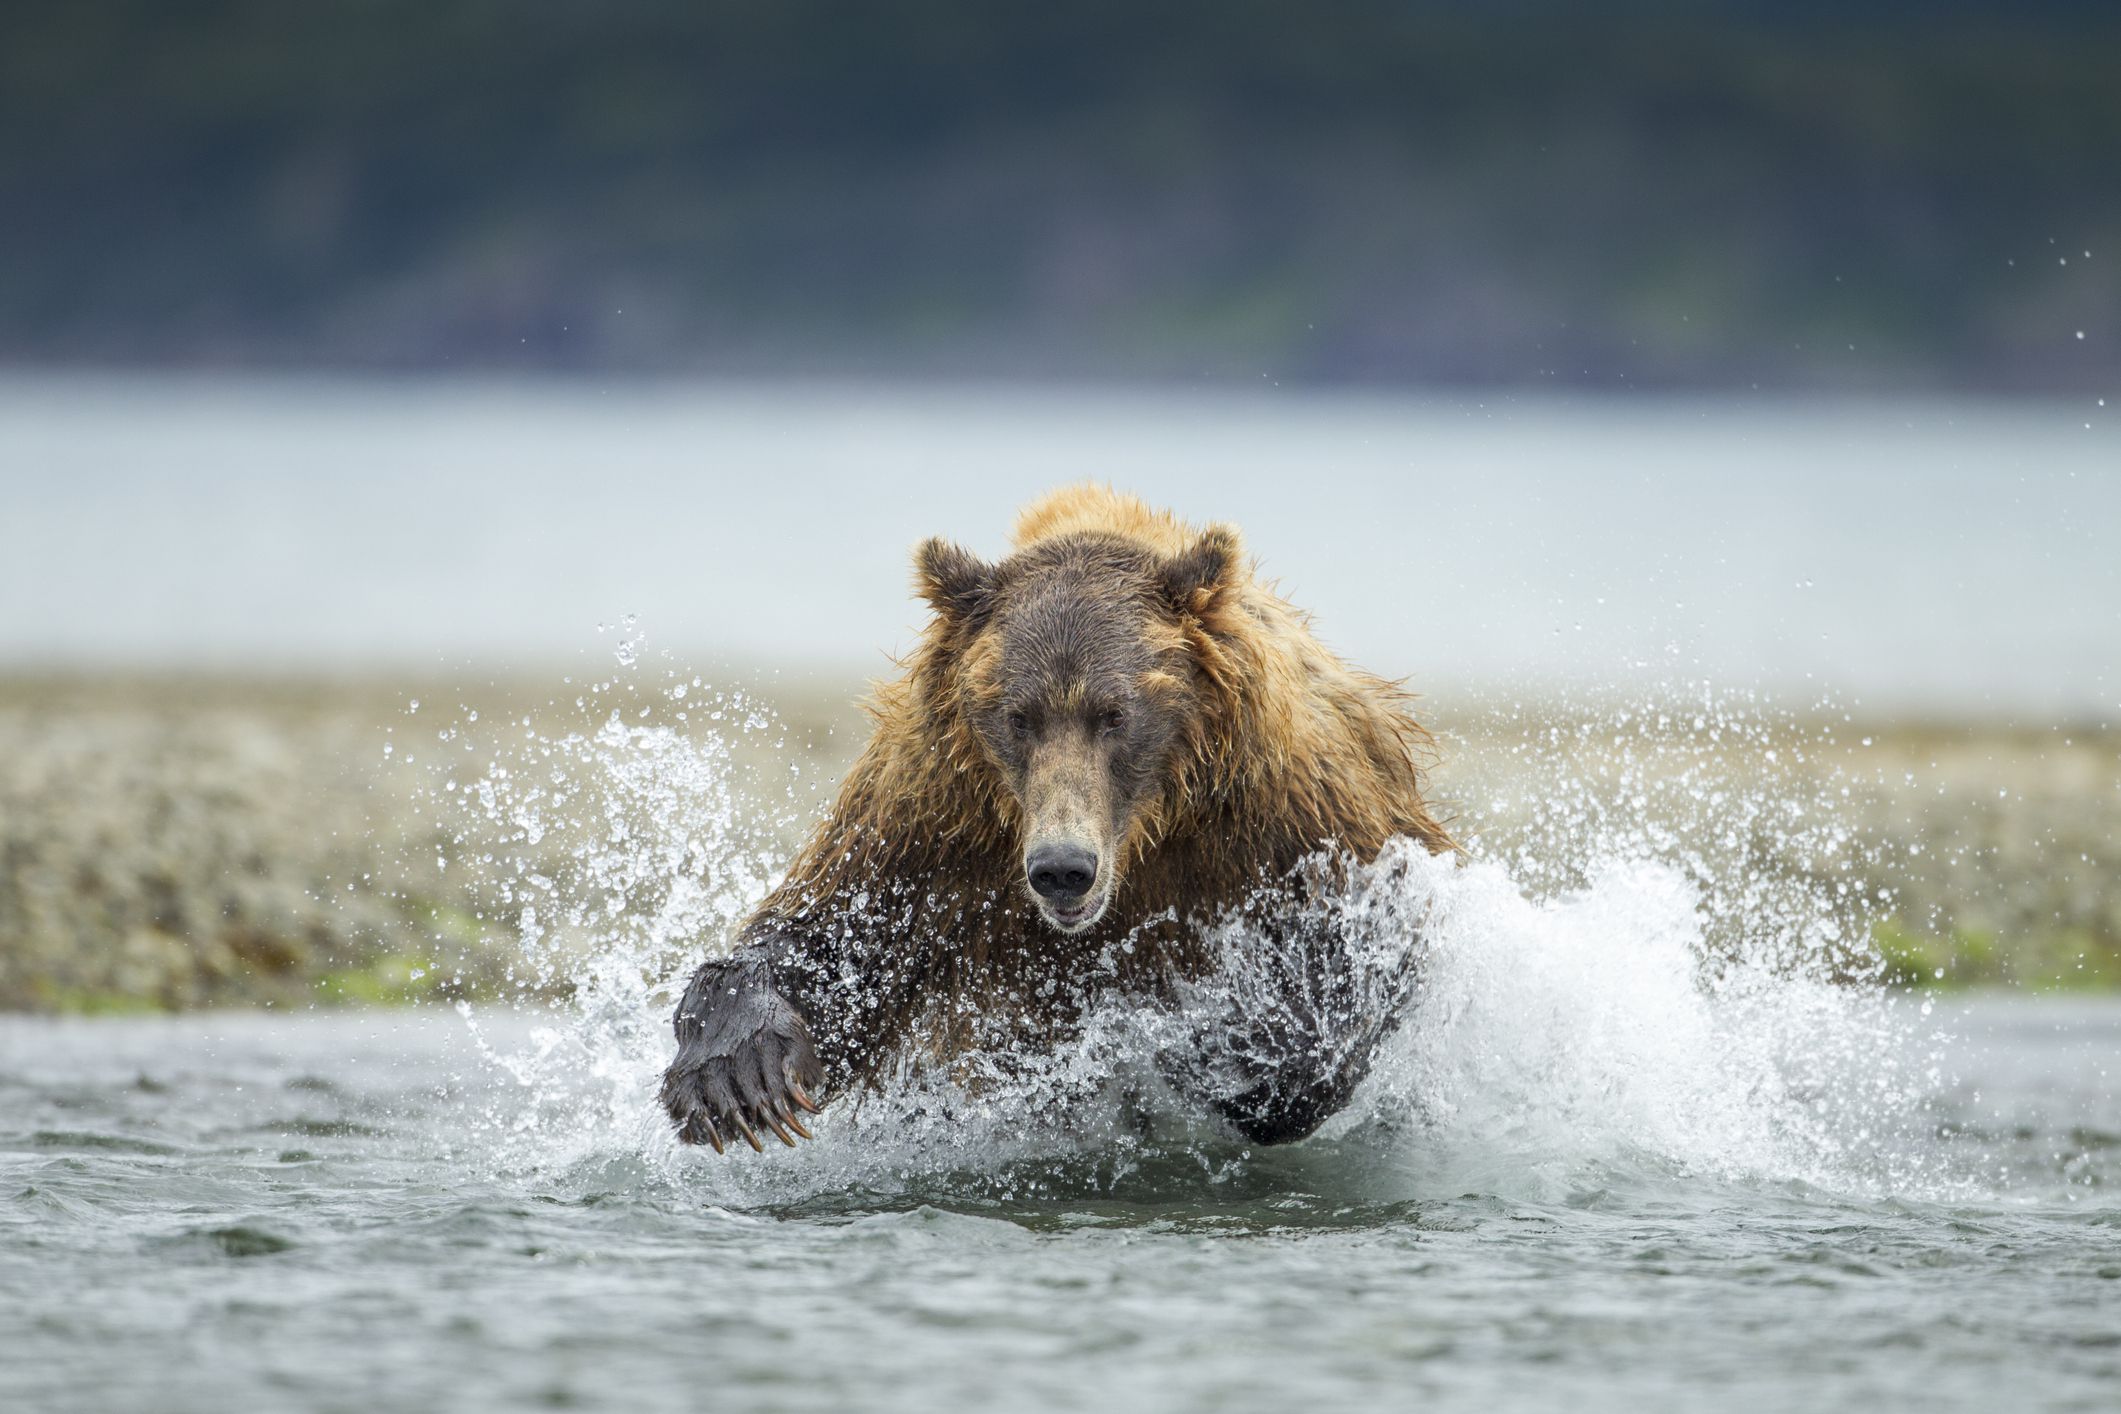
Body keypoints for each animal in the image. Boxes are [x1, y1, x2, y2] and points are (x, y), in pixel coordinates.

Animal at [661, 483, 1459, 1153]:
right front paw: (736, 1074)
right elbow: (838, 942)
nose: (1062, 869)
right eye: (1019, 716)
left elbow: (1353, 962)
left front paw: (1222, 1054)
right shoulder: (934, 822)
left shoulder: (1288, 811)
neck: (1151, 830)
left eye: (1115, 714)